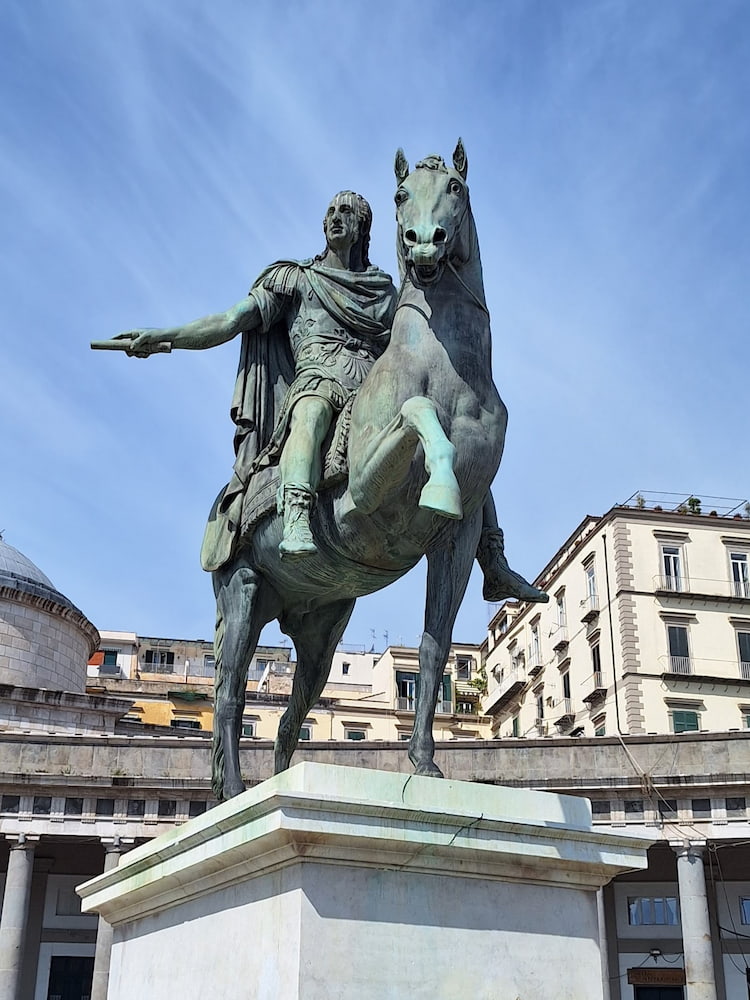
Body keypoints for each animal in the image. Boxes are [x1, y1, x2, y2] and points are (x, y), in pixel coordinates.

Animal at [212, 141, 506, 796]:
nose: (423, 242)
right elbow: (419, 412)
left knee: (290, 715)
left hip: (320, 630)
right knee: (229, 696)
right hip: (242, 591)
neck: (449, 369)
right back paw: (235, 794)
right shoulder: (365, 495)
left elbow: (434, 649)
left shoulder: (458, 537)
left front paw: (423, 763)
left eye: (456, 188)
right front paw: (439, 479)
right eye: (400, 195)